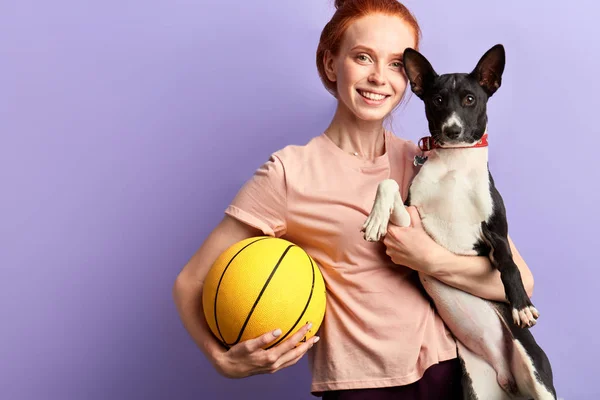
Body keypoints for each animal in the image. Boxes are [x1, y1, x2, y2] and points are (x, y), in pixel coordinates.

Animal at [360, 45, 556, 398]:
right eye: (437, 99)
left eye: (469, 99)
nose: (452, 130)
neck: (454, 164)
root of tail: (508, 378)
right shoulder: (410, 219)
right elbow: (388, 183)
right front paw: (376, 219)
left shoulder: (495, 234)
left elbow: (509, 263)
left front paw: (521, 304)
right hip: (475, 385)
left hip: (538, 378)